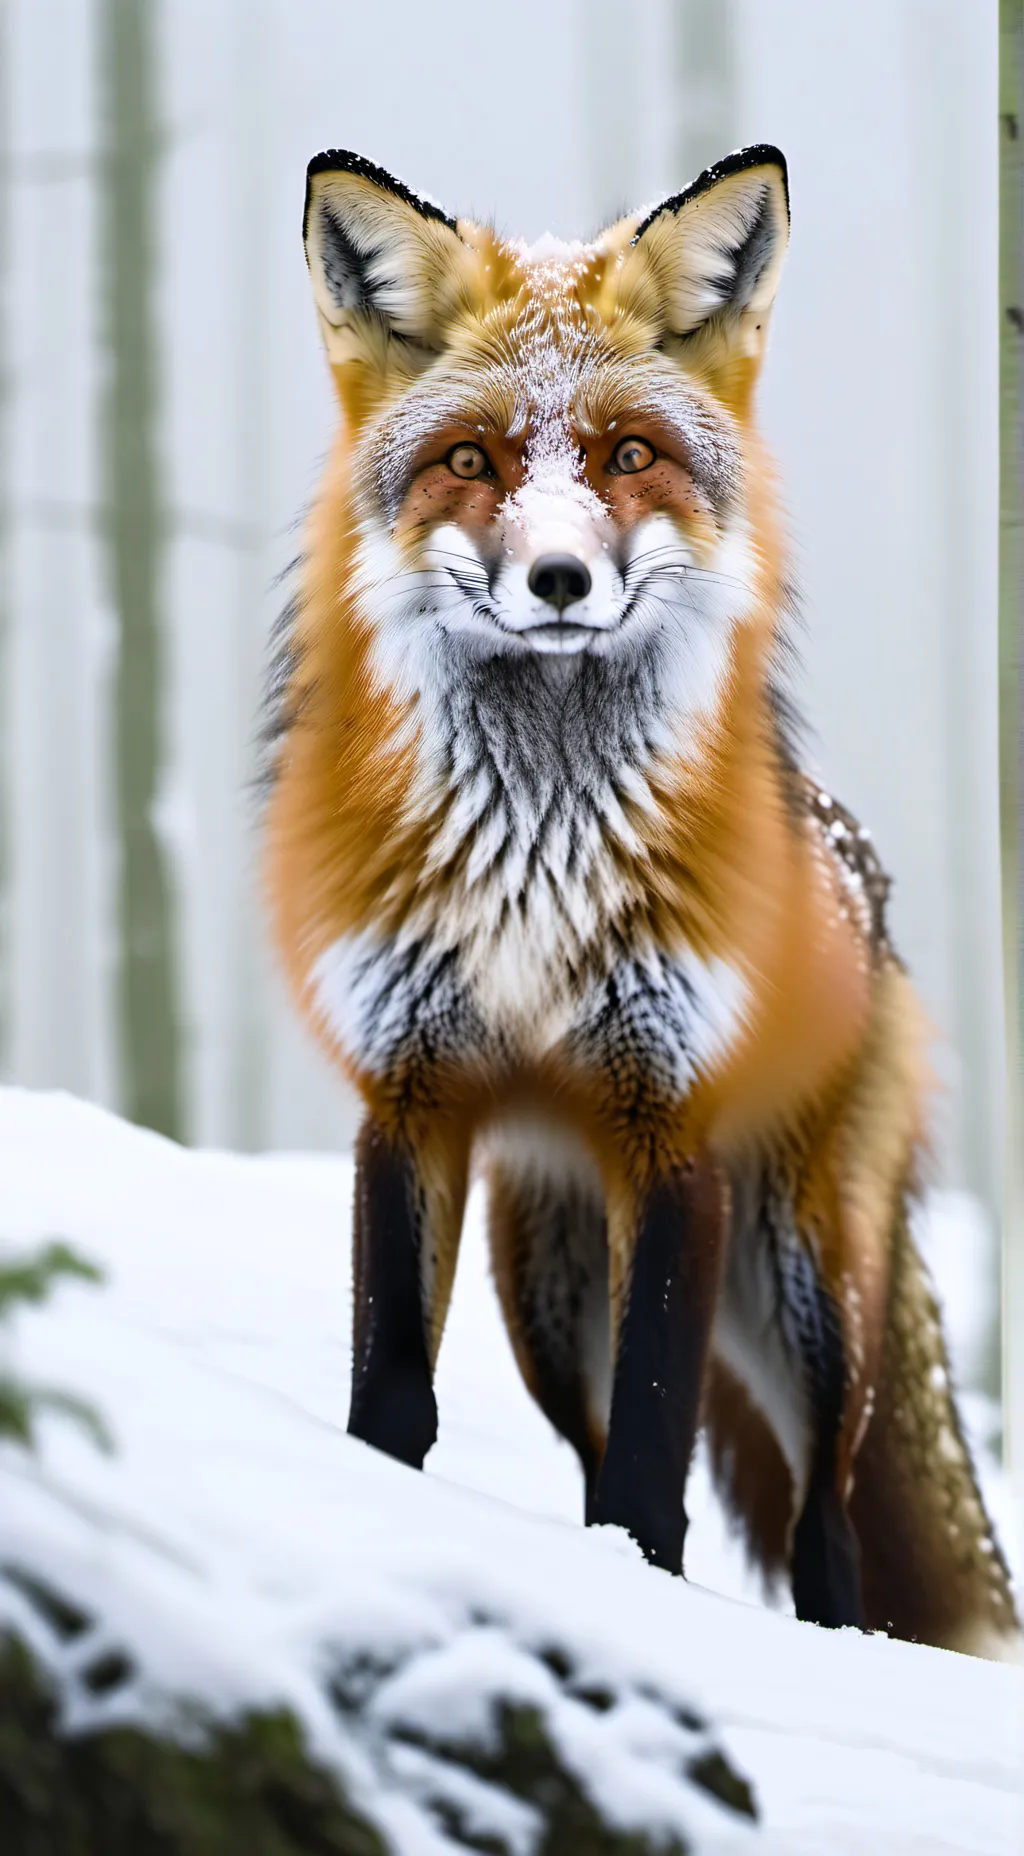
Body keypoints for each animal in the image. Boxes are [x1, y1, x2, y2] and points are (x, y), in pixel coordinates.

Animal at [262, 142, 1021, 1657]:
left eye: (628, 455)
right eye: (470, 460)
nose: (559, 578)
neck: (536, 864)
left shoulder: (670, 1130)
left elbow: (656, 1464)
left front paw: (646, 1596)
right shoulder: (409, 1095)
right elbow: (396, 1398)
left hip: (806, 1289)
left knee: (825, 1528)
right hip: (548, 1299)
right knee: (593, 1441)